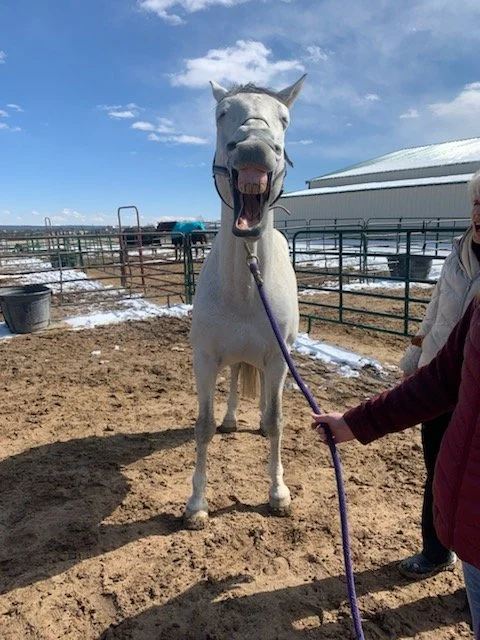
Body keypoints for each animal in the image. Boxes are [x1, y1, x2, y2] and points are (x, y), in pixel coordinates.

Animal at [185, 74, 306, 529]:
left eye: (284, 119)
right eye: (222, 113)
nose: (255, 147)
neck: (247, 285)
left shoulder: (277, 359)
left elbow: (277, 421)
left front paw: (278, 493)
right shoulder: (204, 358)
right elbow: (202, 426)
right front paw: (196, 505)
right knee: (236, 377)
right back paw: (232, 419)